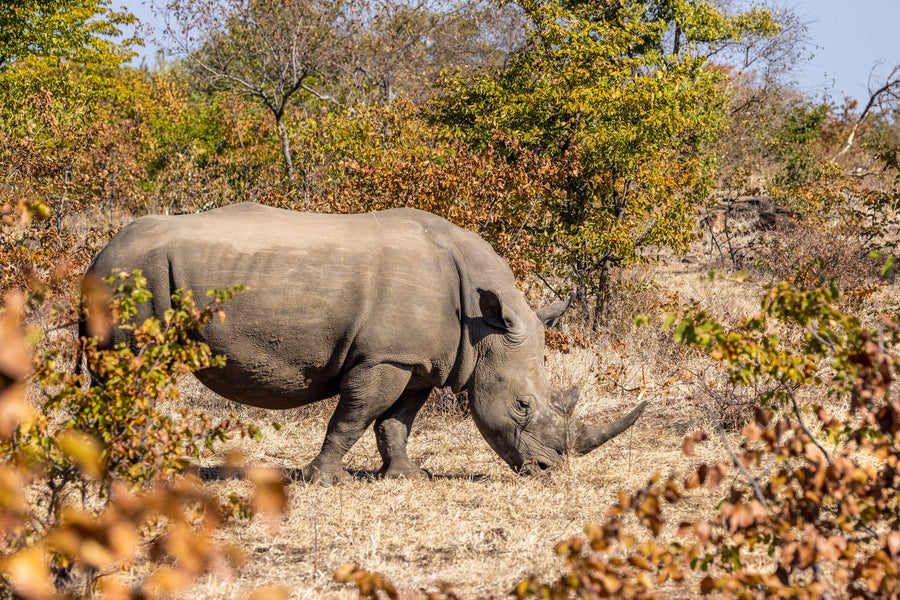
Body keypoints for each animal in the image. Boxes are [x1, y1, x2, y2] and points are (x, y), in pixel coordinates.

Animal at [84, 203, 645, 483]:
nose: (549, 472)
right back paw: (139, 470)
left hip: (131, 276)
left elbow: (396, 422)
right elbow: (353, 416)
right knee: (134, 373)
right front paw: (319, 479)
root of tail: (101, 250)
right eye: (522, 405)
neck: (481, 327)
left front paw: (406, 477)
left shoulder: (420, 360)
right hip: (132, 279)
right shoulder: (385, 357)